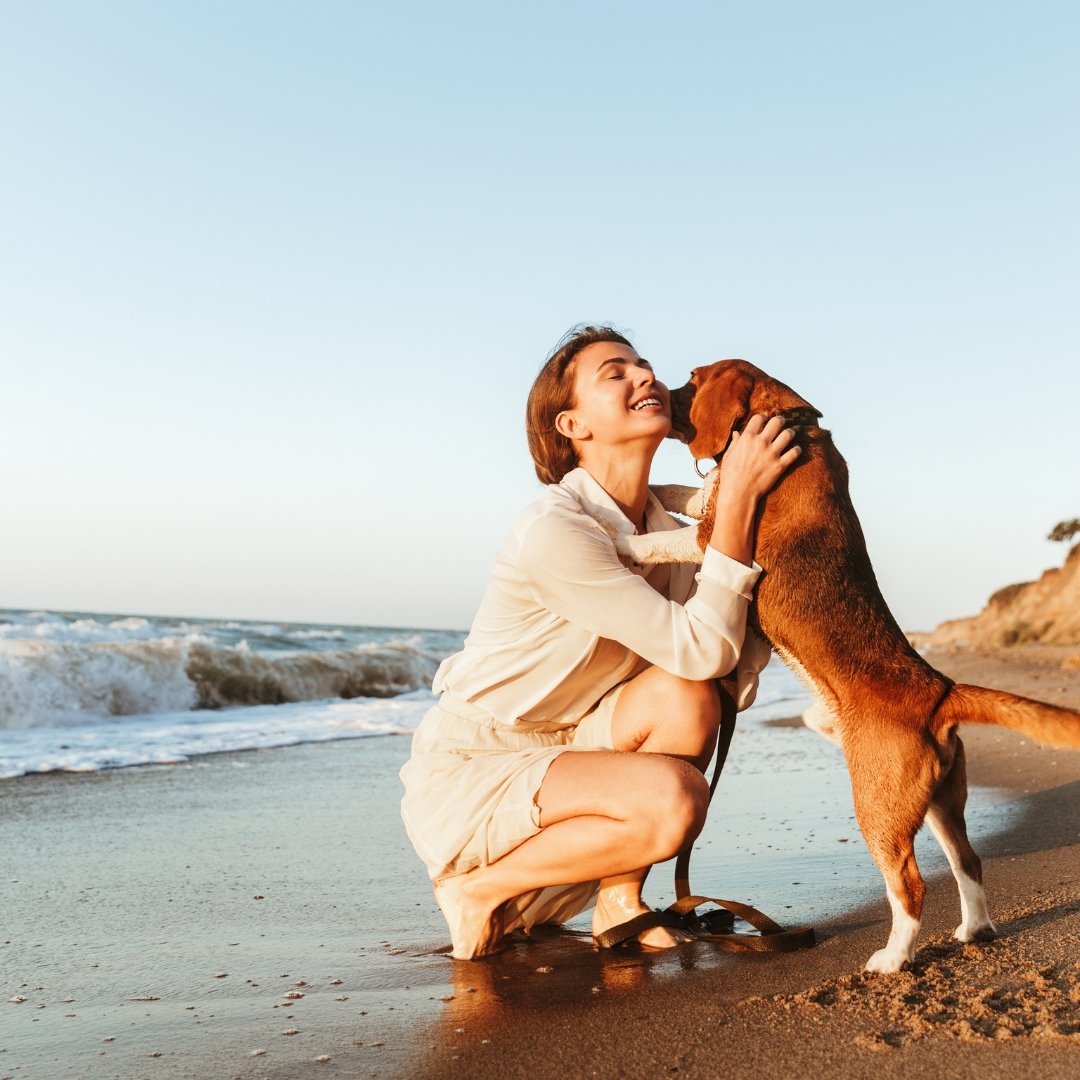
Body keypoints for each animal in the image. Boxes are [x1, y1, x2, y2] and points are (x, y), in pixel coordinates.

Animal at [604, 358, 1080, 976]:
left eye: (691, 378)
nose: (658, 392)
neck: (789, 422)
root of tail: (939, 690)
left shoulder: (711, 537)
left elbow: (665, 537)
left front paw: (624, 541)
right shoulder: (710, 506)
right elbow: (684, 491)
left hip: (878, 807)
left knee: (910, 886)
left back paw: (892, 958)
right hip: (941, 803)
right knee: (969, 862)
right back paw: (974, 928)